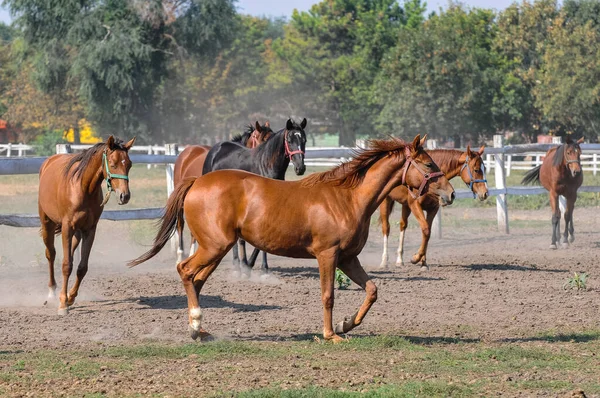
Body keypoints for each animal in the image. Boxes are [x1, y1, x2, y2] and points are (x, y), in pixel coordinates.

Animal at [39, 136, 135, 314]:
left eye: (129, 164)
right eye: (113, 164)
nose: (124, 196)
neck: (82, 187)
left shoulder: (90, 230)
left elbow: (82, 267)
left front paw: (70, 298)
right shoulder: (67, 228)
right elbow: (66, 265)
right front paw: (63, 305)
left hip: (76, 233)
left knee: (69, 254)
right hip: (47, 224)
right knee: (51, 254)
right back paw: (52, 293)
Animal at [127, 136, 454, 342]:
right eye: (428, 165)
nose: (450, 193)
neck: (348, 197)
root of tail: (197, 181)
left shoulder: (348, 258)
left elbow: (372, 290)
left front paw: (346, 324)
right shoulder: (327, 255)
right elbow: (328, 295)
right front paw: (331, 334)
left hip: (217, 250)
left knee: (196, 280)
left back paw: (201, 331)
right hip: (213, 247)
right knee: (185, 271)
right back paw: (195, 325)